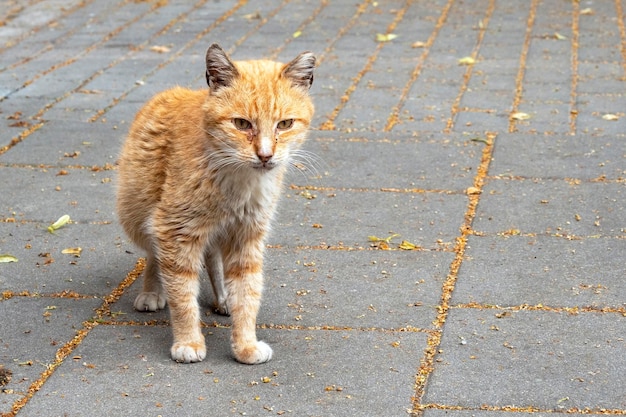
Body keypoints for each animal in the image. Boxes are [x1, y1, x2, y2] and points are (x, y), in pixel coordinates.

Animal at [116, 44, 314, 362]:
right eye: (241, 124)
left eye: (285, 124)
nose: (265, 155)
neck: (237, 179)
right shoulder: (175, 231)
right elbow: (183, 294)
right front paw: (189, 341)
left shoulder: (246, 236)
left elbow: (247, 293)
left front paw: (245, 344)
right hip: (139, 216)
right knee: (154, 255)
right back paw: (153, 291)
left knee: (212, 260)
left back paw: (223, 298)